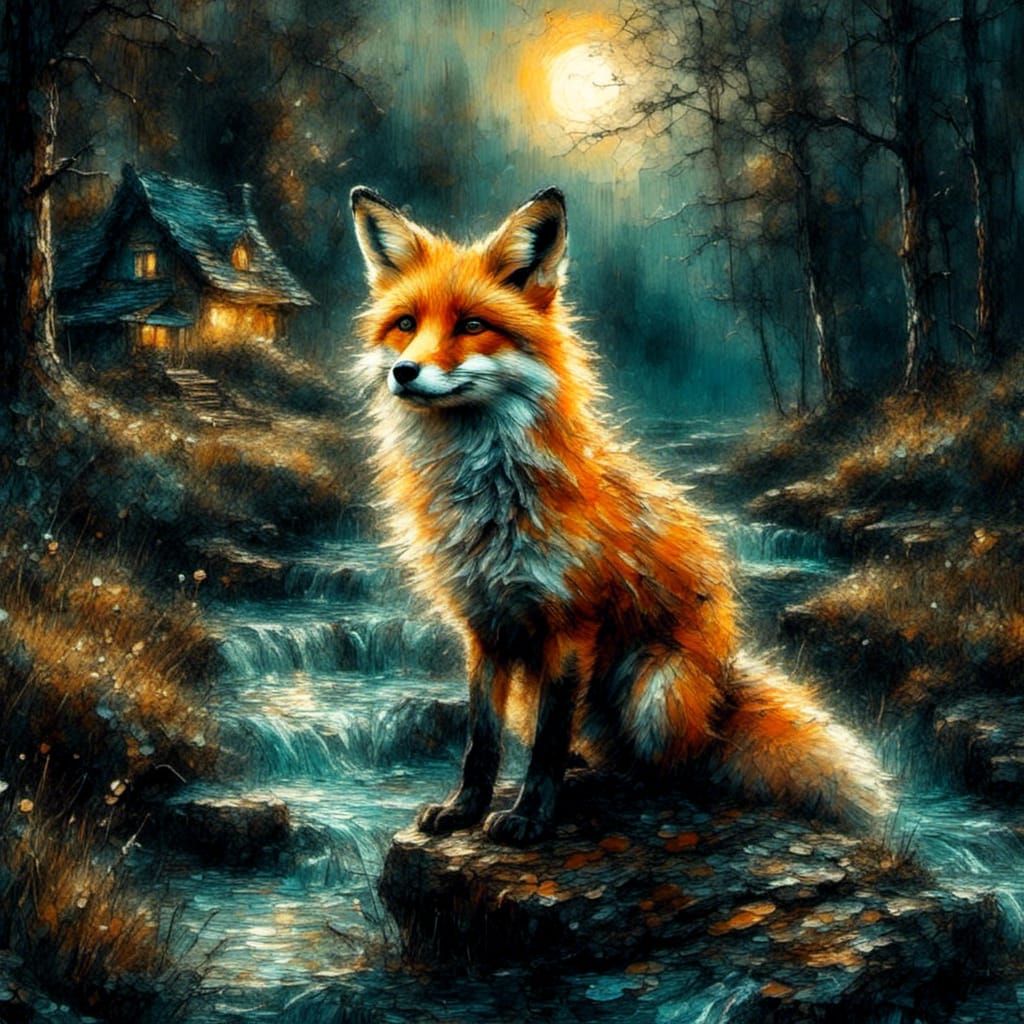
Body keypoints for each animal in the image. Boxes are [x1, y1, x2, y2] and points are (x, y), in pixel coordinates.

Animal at [349, 185, 892, 846]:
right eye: (406, 324)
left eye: (472, 325)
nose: (404, 372)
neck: (490, 501)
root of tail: (721, 695)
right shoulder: (485, 627)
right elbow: (482, 740)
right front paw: (464, 810)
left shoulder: (570, 625)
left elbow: (547, 744)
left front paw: (530, 817)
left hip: (656, 687)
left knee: (668, 769)